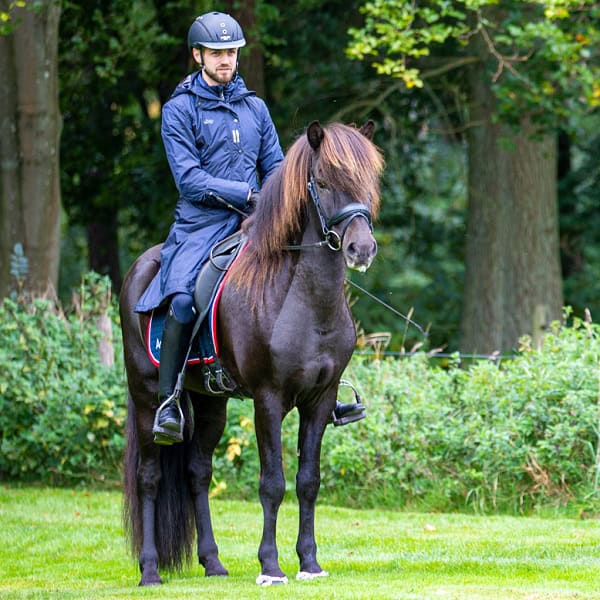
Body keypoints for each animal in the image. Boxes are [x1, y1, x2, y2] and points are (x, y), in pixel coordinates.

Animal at [120, 120, 384, 584]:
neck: (304, 299)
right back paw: (149, 570)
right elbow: (273, 483)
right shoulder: (269, 399)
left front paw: (310, 563)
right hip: (147, 395)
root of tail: (142, 266)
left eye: (369, 181)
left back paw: (213, 563)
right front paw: (271, 566)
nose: (361, 249)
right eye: (323, 182)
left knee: (197, 473)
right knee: (150, 476)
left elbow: (308, 481)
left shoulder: (320, 401)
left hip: (211, 403)